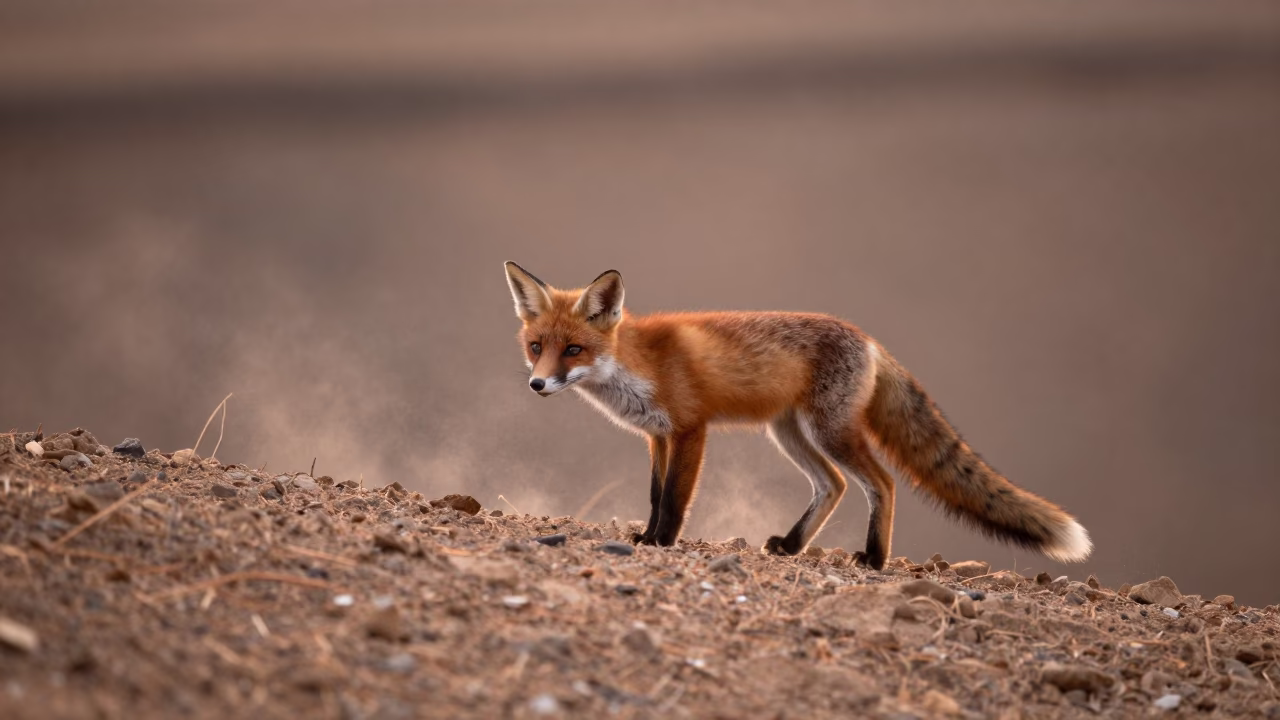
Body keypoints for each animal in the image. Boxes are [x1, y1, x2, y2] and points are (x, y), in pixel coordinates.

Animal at [503, 261, 1092, 569]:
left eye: (573, 350)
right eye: (536, 347)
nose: (537, 384)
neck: (635, 365)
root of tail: (870, 340)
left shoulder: (691, 430)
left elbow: (673, 499)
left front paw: (660, 543)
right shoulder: (657, 436)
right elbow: (653, 495)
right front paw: (646, 535)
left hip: (827, 432)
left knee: (881, 483)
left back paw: (874, 558)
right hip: (789, 433)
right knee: (834, 485)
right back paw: (791, 545)